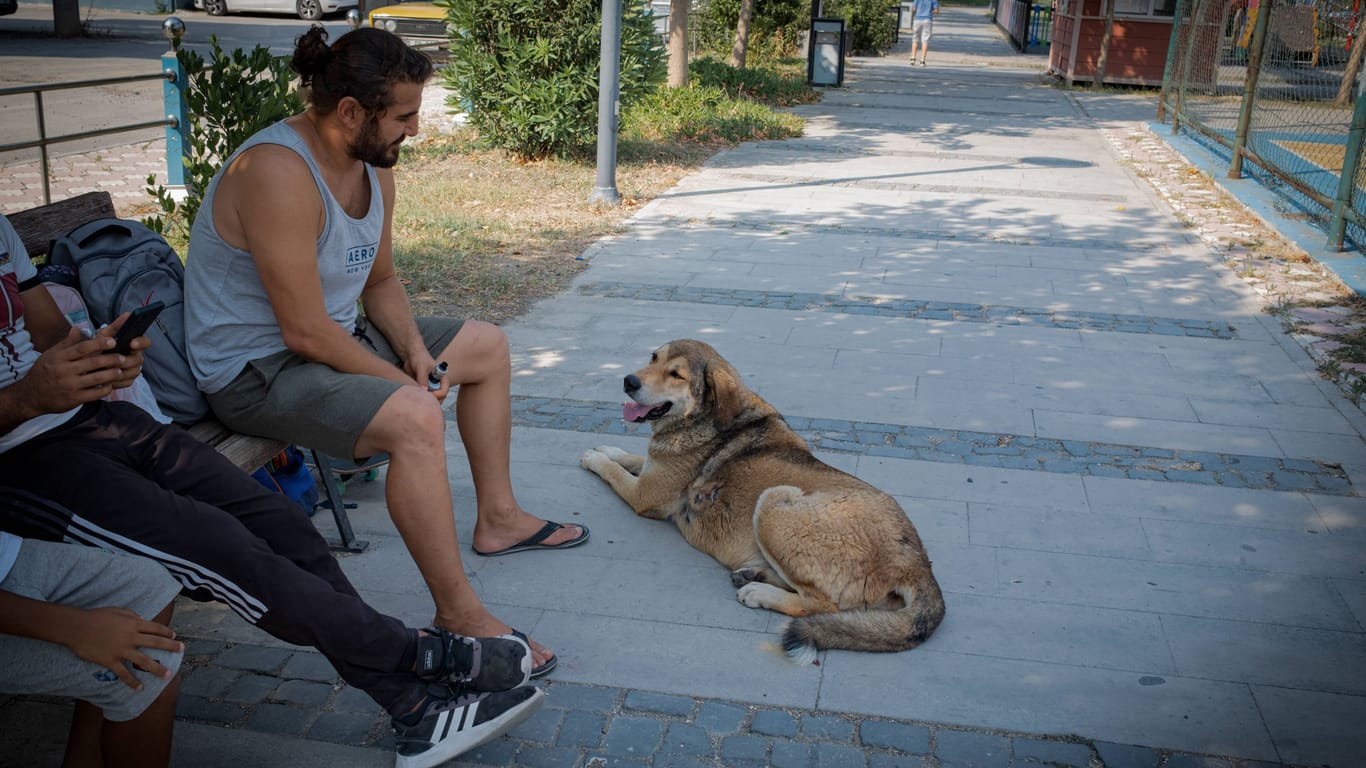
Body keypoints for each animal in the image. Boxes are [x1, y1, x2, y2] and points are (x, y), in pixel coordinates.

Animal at [581, 337, 945, 661]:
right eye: (653, 357)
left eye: (676, 374)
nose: (628, 381)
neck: (704, 420)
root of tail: (917, 562)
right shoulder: (651, 473)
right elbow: (630, 458)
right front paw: (609, 448)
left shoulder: (645, 494)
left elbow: (615, 472)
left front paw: (594, 458)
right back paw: (754, 574)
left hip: (773, 502)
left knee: (821, 603)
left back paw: (759, 591)